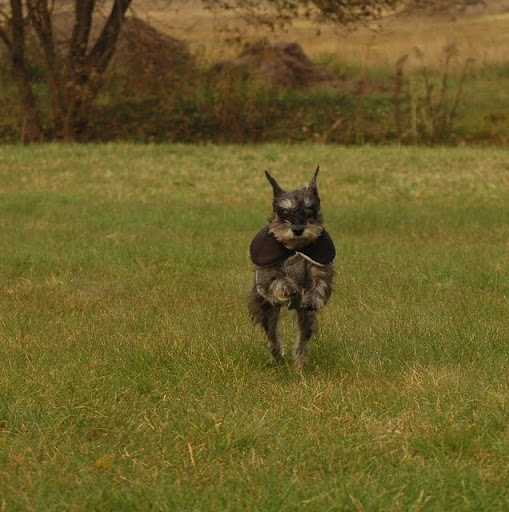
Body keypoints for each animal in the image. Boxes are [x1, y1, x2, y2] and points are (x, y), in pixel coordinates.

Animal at [248, 167, 335, 368]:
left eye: (309, 210)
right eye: (285, 213)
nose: (297, 229)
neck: (295, 247)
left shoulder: (320, 271)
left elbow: (319, 285)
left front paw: (312, 297)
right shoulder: (265, 278)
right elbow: (277, 280)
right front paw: (288, 287)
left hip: (304, 316)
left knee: (303, 337)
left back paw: (300, 364)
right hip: (267, 309)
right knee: (272, 334)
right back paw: (277, 357)